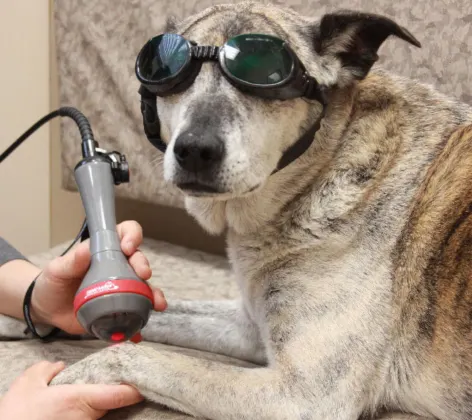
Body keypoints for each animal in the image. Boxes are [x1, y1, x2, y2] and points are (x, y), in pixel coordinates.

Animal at [24, 1, 472, 418]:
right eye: (167, 70)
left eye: (267, 72)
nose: (194, 150)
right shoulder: (251, 325)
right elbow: (166, 313)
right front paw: (33, 315)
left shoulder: (302, 395)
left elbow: (133, 354)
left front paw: (62, 385)